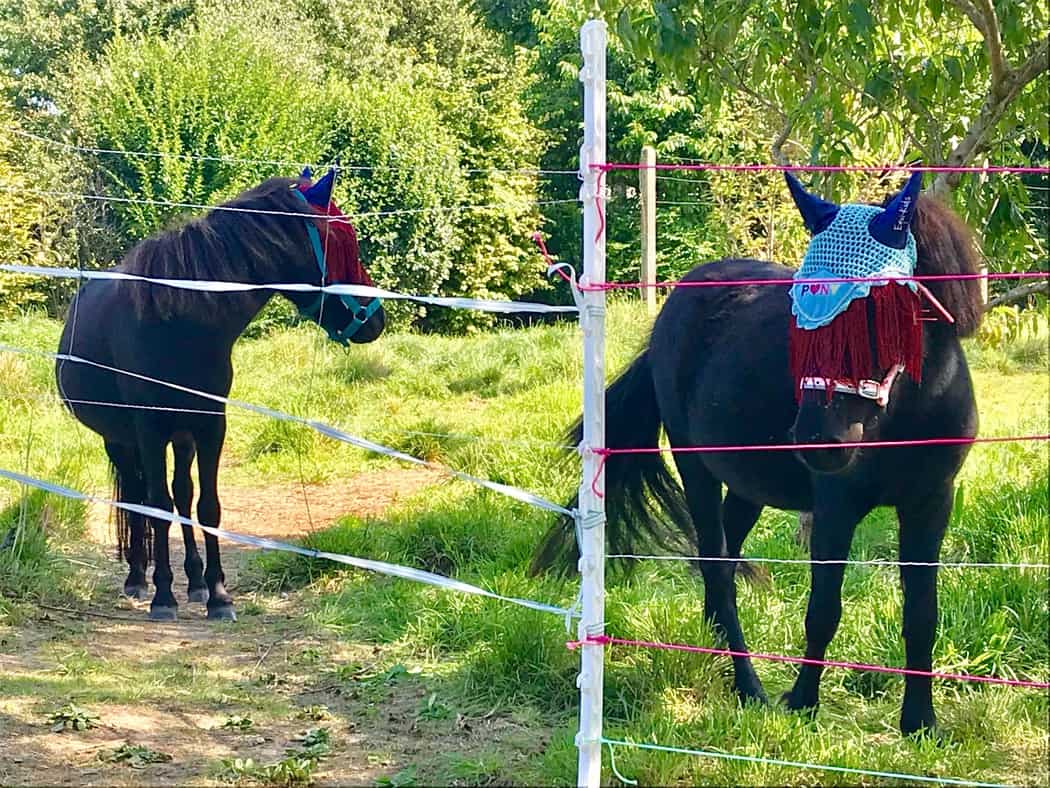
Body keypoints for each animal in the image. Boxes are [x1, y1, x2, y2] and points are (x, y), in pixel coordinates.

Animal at [56, 168, 385, 622]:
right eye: (341, 238)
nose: (376, 319)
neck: (180, 323)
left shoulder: (211, 425)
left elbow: (207, 506)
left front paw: (217, 595)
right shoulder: (149, 429)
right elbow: (156, 508)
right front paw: (163, 597)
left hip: (182, 438)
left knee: (181, 494)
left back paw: (192, 581)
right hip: (120, 440)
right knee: (139, 497)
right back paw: (139, 578)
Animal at [533, 172, 983, 735]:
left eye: (877, 307)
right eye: (800, 304)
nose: (818, 438)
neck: (908, 413)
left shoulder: (930, 504)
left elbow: (922, 614)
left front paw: (920, 723)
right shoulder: (835, 508)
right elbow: (824, 609)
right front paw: (802, 702)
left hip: (747, 485)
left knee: (719, 566)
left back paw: (716, 650)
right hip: (696, 467)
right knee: (717, 565)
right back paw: (747, 684)